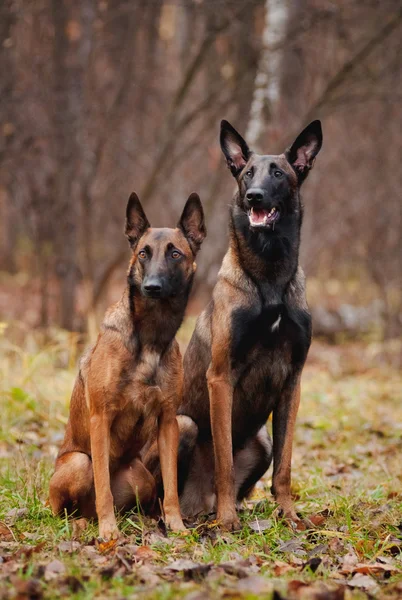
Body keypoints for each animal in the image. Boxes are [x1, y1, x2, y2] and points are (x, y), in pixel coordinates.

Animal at [49, 192, 206, 540]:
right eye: (143, 253)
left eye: (175, 253)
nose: (152, 287)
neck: (150, 337)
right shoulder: (100, 417)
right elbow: (104, 487)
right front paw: (109, 532)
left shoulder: (168, 421)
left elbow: (171, 488)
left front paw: (176, 525)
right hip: (77, 463)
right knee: (65, 508)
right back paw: (85, 523)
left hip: (141, 476)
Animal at [174, 118, 322, 528]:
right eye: (246, 174)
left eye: (279, 174)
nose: (254, 196)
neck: (269, 276)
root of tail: (199, 503)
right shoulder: (221, 377)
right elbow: (224, 460)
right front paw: (227, 523)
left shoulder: (292, 380)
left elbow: (284, 467)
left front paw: (289, 515)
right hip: (182, 426)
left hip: (261, 441)